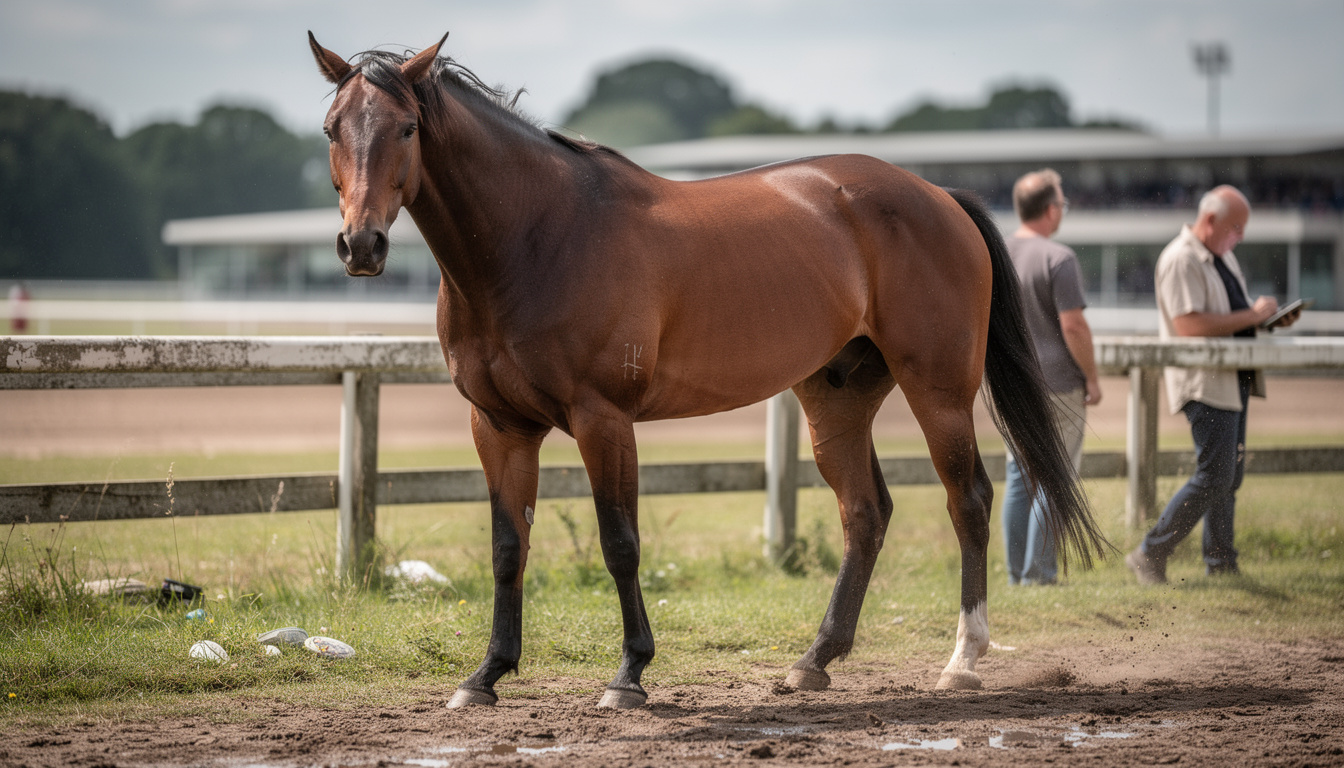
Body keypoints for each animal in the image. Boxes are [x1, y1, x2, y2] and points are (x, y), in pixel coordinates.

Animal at [308, 32, 1109, 709]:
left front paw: (629, 675)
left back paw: (962, 661)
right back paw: (814, 660)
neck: (537, 237)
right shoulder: (499, 426)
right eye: (331, 129)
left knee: (967, 501)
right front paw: (486, 676)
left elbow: (620, 543)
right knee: (865, 513)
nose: (360, 245)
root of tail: (940, 196)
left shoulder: (603, 420)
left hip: (938, 389)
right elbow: (509, 548)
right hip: (836, 400)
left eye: (407, 129)